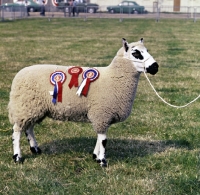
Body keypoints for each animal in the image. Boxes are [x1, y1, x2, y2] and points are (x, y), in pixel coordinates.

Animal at [8, 38, 159, 168]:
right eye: (136, 53)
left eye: (147, 50)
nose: (155, 67)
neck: (114, 77)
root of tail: (18, 75)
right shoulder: (102, 113)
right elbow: (103, 140)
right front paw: (102, 161)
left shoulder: (102, 116)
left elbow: (99, 138)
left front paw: (96, 156)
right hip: (25, 106)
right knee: (17, 131)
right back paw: (17, 157)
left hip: (33, 108)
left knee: (29, 128)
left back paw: (35, 149)